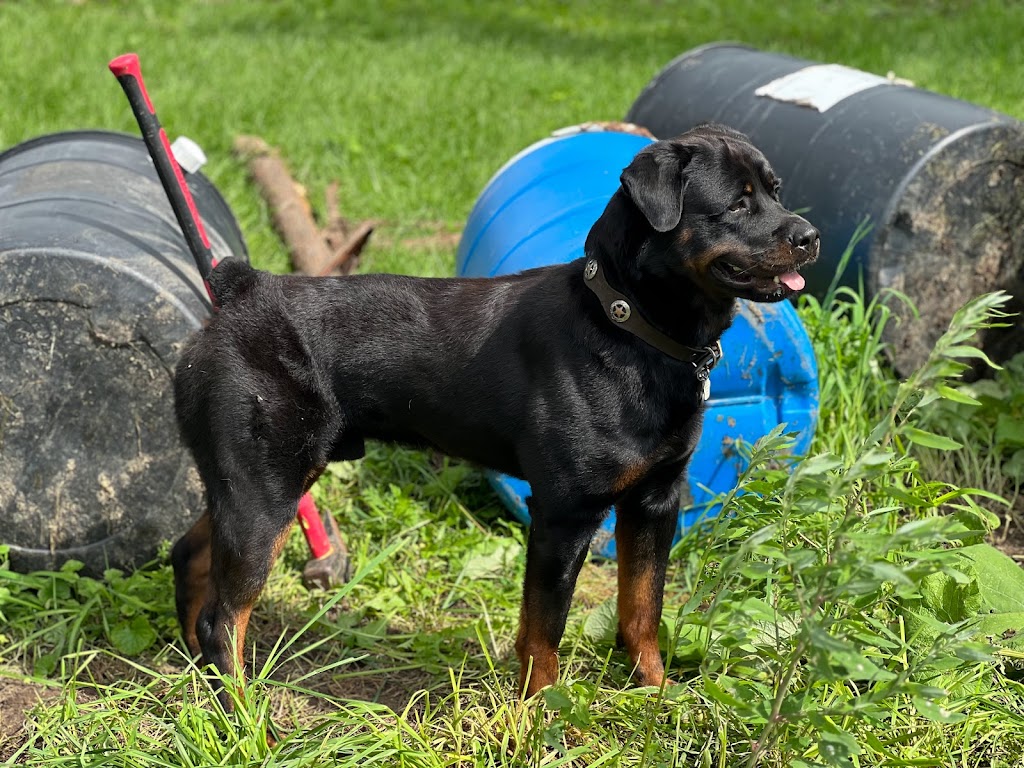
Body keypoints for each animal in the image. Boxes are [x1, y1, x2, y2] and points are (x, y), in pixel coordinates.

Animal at [172, 123, 819, 708]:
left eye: (777, 192)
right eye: (736, 203)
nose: (810, 235)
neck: (626, 325)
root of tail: (241, 290)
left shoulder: (655, 502)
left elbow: (642, 611)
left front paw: (656, 698)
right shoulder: (564, 514)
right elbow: (542, 631)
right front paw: (543, 716)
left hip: (246, 485)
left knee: (190, 557)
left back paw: (198, 678)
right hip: (266, 492)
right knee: (225, 619)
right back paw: (246, 718)